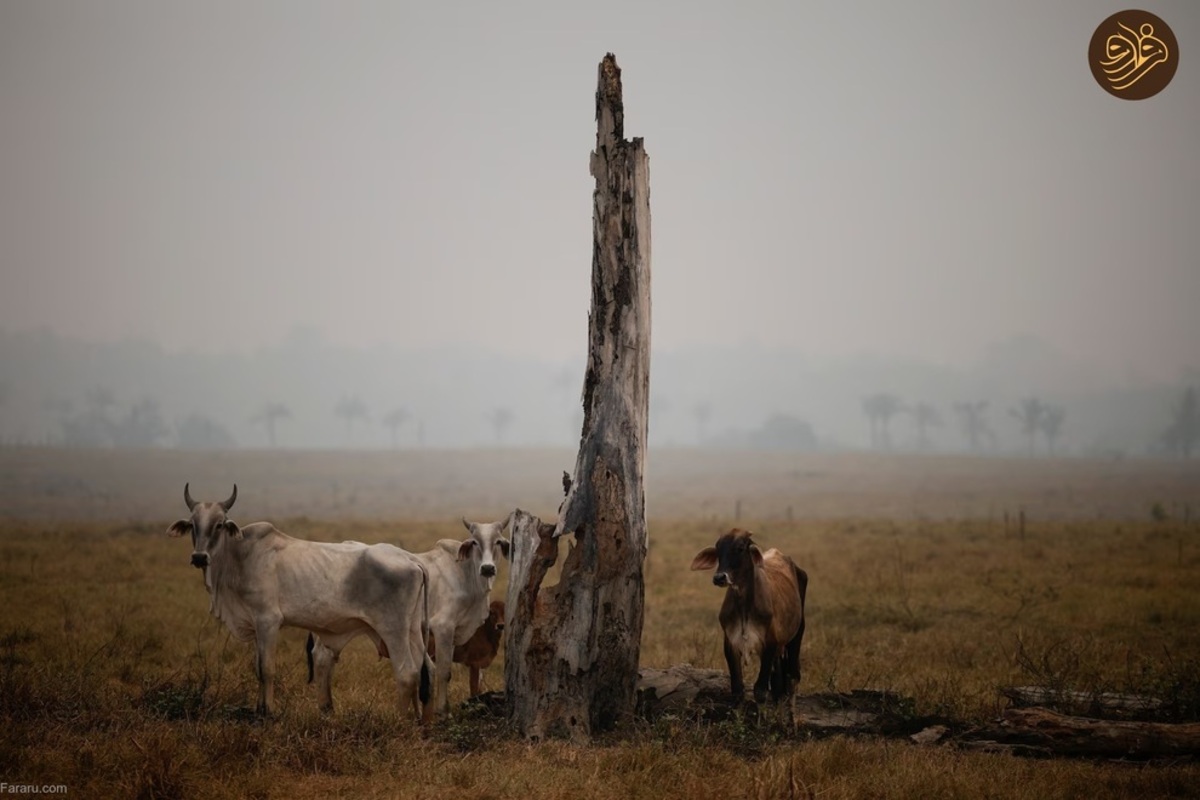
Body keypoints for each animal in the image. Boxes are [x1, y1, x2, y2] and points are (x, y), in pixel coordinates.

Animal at [169, 484, 432, 724]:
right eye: (193, 525)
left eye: (219, 524)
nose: (199, 557)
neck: (239, 557)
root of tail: (412, 559)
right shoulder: (255, 625)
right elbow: (257, 668)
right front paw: (258, 709)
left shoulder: (268, 621)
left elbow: (267, 668)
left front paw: (268, 712)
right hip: (412, 630)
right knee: (425, 668)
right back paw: (421, 721)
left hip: (392, 629)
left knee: (407, 672)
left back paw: (399, 720)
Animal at [696, 527, 806, 705]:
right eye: (718, 550)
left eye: (740, 548)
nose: (719, 577)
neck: (744, 607)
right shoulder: (731, 643)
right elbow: (737, 689)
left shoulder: (770, 643)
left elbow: (760, 690)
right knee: (778, 680)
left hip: (797, 633)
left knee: (792, 676)